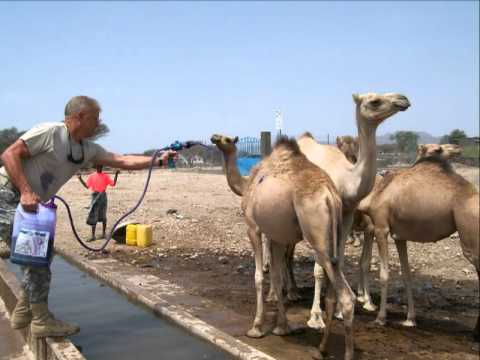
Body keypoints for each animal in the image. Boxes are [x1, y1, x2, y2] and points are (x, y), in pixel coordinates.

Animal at [212, 134, 354, 360]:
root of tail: (330, 196)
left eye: (227, 139)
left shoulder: (253, 227)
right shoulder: (276, 236)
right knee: (334, 293)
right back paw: (322, 348)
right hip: (336, 236)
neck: (247, 184)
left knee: (347, 297)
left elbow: (259, 276)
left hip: (317, 234)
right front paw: (282, 327)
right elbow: (277, 277)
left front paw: (256, 327)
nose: (214, 137)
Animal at [298, 92, 410, 326]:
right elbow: (319, 269)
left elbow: (338, 260)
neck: (345, 180)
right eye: (375, 101)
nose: (403, 99)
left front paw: (339, 310)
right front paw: (315, 316)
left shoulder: (348, 215)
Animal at [354, 143, 478, 334]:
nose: (457, 148)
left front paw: (380, 318)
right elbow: (406, 275)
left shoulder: (381, 227)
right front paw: (410, 320)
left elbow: (384, 274)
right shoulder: (399, 236)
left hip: (470, 238)